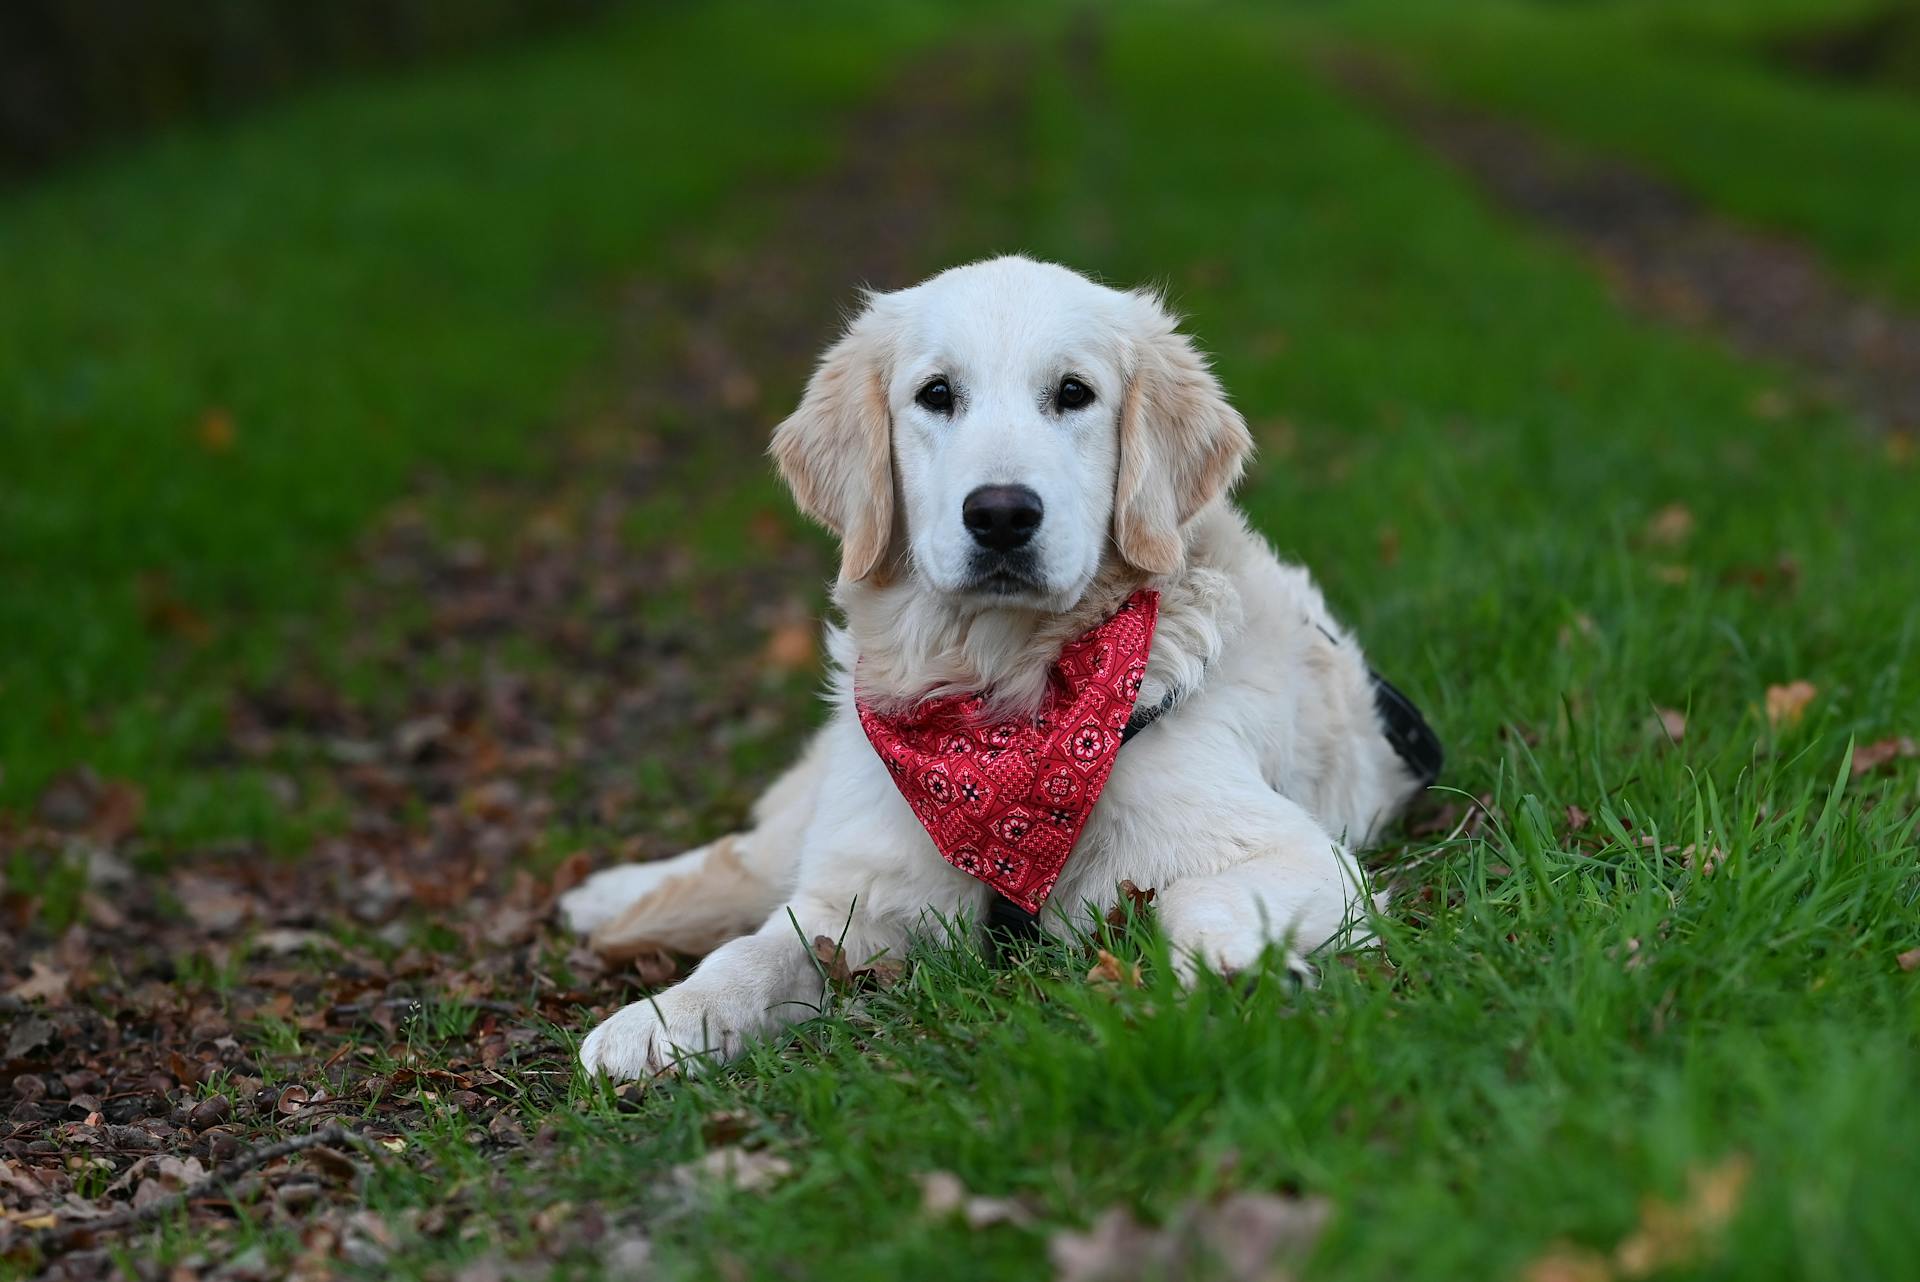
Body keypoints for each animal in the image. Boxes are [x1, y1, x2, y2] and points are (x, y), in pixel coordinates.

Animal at [560, 255, 1436, 1074]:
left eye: (1075, 393)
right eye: (937, 394)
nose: (1003, 514)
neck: (1002, 700)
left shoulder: (1291, 852)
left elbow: (1203, 900)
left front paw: (1237, 972)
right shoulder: (867, 889)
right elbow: (753, 951)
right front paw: (659, 1021)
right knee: (749, 852)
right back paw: (602, 894)